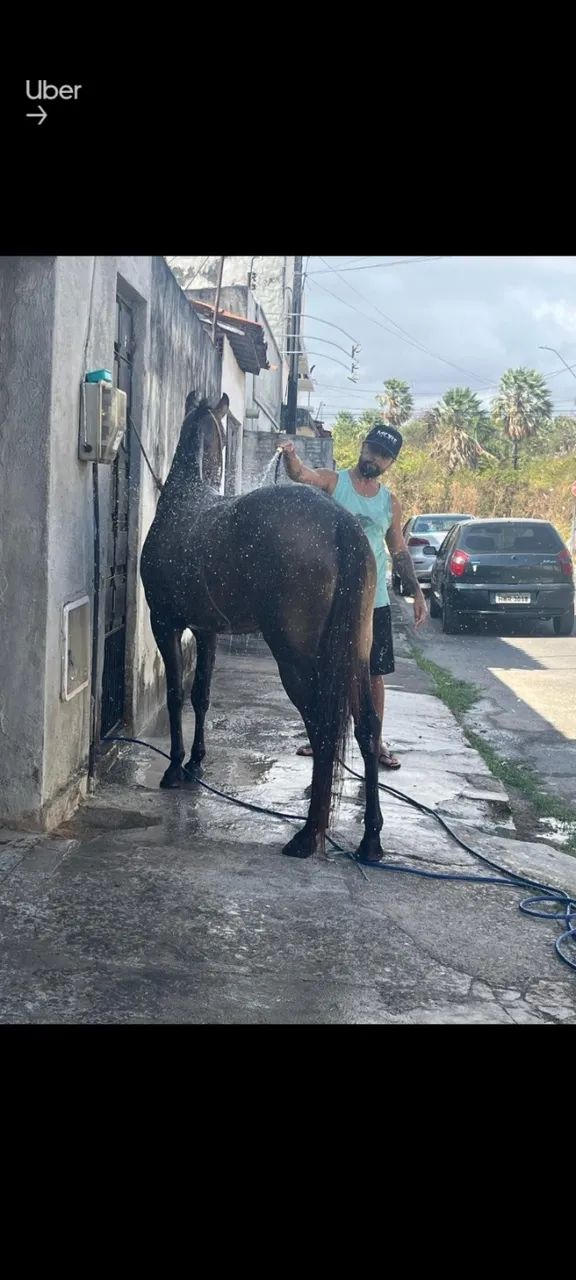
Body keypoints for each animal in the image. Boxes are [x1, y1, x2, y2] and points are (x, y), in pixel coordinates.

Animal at [140, 392, 384, 862]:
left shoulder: (165, 623)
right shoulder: (207, 631)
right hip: (356, 656)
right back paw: (370, 840)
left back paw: (308, 834)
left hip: (296, 659)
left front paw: (175, 767)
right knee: (366, 725)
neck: (183, 500)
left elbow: (176, 694)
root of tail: (340, 522)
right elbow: (201, 695)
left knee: (322, 728)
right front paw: (195, 762)